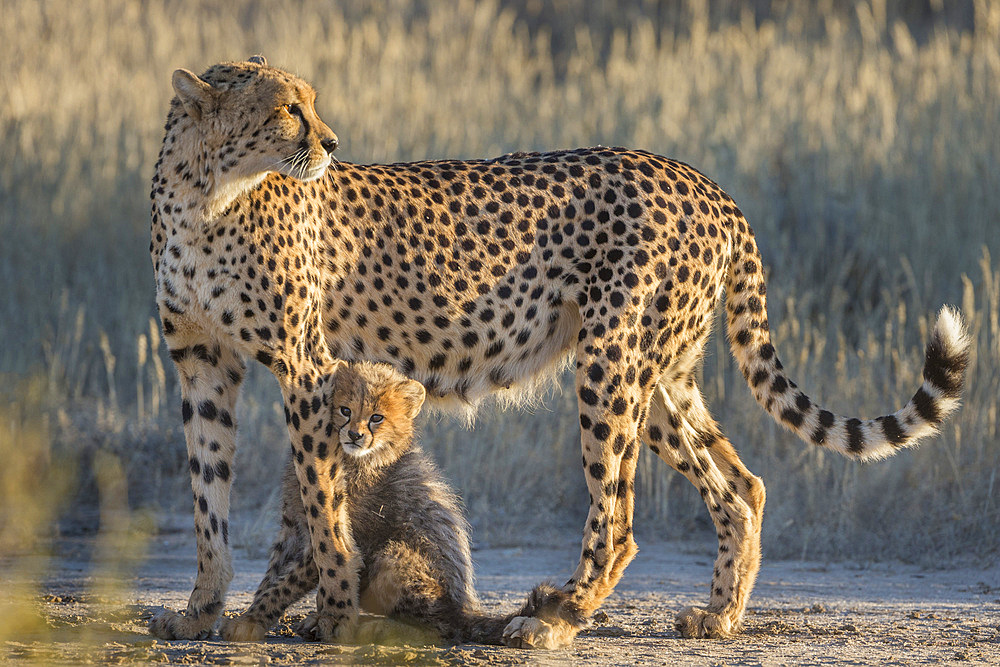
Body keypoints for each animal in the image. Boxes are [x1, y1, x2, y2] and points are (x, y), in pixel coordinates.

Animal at [148, 57, 968, 648]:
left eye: (309, 103)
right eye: (288, 106)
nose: (330, 144)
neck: (205, 191)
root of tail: (705, 182)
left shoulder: (305, 365)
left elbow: (321, 503)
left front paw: (336, 611)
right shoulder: (202, 361)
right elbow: (206, 498)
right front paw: (201, 609)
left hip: (610, 365)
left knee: (621, 513)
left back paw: (558, 617)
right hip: (661, 376)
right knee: (741, 485)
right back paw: (718, 617)